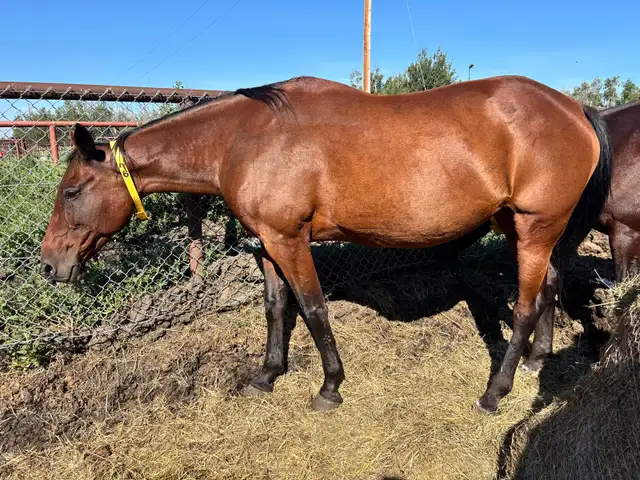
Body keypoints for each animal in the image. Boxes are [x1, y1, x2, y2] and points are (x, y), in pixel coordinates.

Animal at [40, 75, 612, 414]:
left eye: (71, 191)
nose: (49, 265)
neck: (245, 139)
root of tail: (575, 109)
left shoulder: (291, 241)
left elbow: (313, 309)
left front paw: (329, 387)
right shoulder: (268, 243)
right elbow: (276, 309)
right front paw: (267, 375)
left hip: (535, 227)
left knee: (525, 306)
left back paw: (495, 392)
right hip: (521, 226)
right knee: (549, 287)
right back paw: (538, 360)